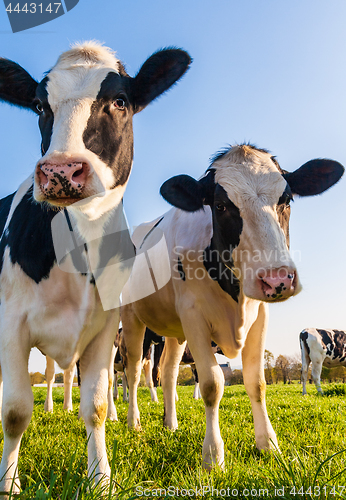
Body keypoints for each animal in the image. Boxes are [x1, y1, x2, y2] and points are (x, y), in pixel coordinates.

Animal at [0, 40, 192, 492]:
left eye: (119, 101)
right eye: (39, 105)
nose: (60, 170)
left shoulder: (105, 327)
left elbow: (98, 405)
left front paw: (100, 478)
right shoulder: (12, 323)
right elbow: (15, 411)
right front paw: (8, 483)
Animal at [121, 144, 344, 468]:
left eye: (287, 199)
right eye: (220, 206)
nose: (278, 278)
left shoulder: (258, 315)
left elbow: (257, 382)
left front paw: (268, 444)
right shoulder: (194, 316)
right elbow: (212, 384)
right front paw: (213, 456)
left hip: (175, 331)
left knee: (169, 372)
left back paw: (170, 424)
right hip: (130, 318)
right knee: (134, 371)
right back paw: (132, 423)